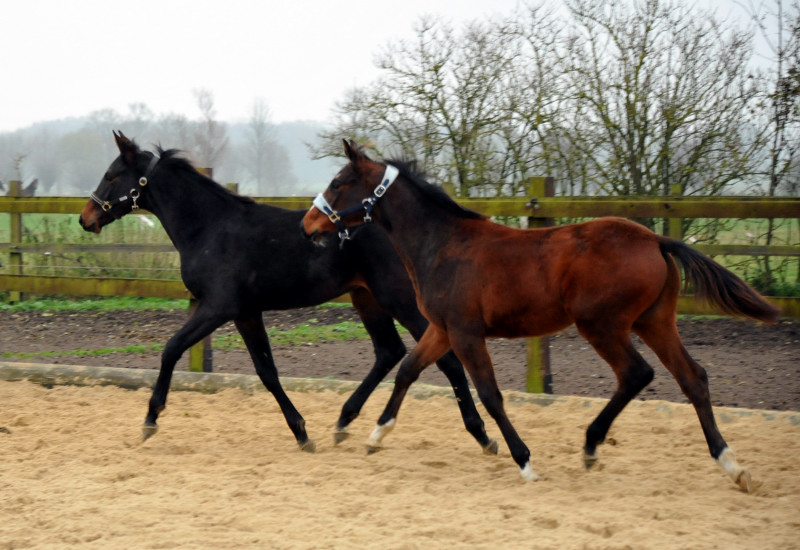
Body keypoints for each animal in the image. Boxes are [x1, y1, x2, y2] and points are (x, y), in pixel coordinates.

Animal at [78, 132, 496, 454]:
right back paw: (343, 422)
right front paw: (302, 433)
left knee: (445, 360)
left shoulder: (217, 307)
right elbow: (267, 372)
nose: (85, 219)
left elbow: (171, 349)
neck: (210, 228)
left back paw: (482, 436)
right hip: (367, 297)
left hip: (400, 299)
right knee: (389, 351)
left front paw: (150, 419)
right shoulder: (245, 312)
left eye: (111, 175)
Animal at [304, 140, 780, 494]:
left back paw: (591, 445)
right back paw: (732, 465)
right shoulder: (442, 329)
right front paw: (374, 435)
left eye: (338, 182)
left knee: (637, 373)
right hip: (654, 321)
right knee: (692, 377)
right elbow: (407, 370)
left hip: (602, 325)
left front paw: (525, 462)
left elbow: (490, 394)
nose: (308, 226)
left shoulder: (466, 333)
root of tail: (655, 239)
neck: (443, 244)